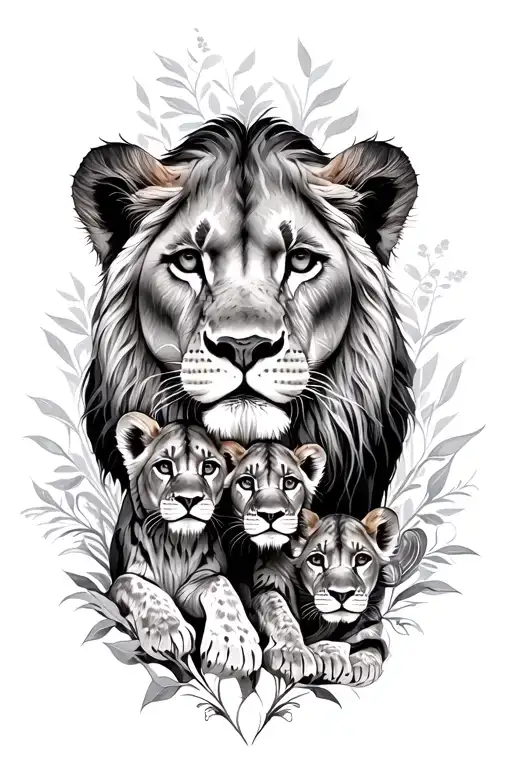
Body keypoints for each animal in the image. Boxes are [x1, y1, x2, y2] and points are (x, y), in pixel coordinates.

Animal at [109, 413, 261, 678]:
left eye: (208, 467)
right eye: (164, 466)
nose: (189, 499)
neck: (175, 544)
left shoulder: (197, 583)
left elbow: (221, 584)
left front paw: (234, 646)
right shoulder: (119, 581)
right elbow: (136, 583)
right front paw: (167, 630)